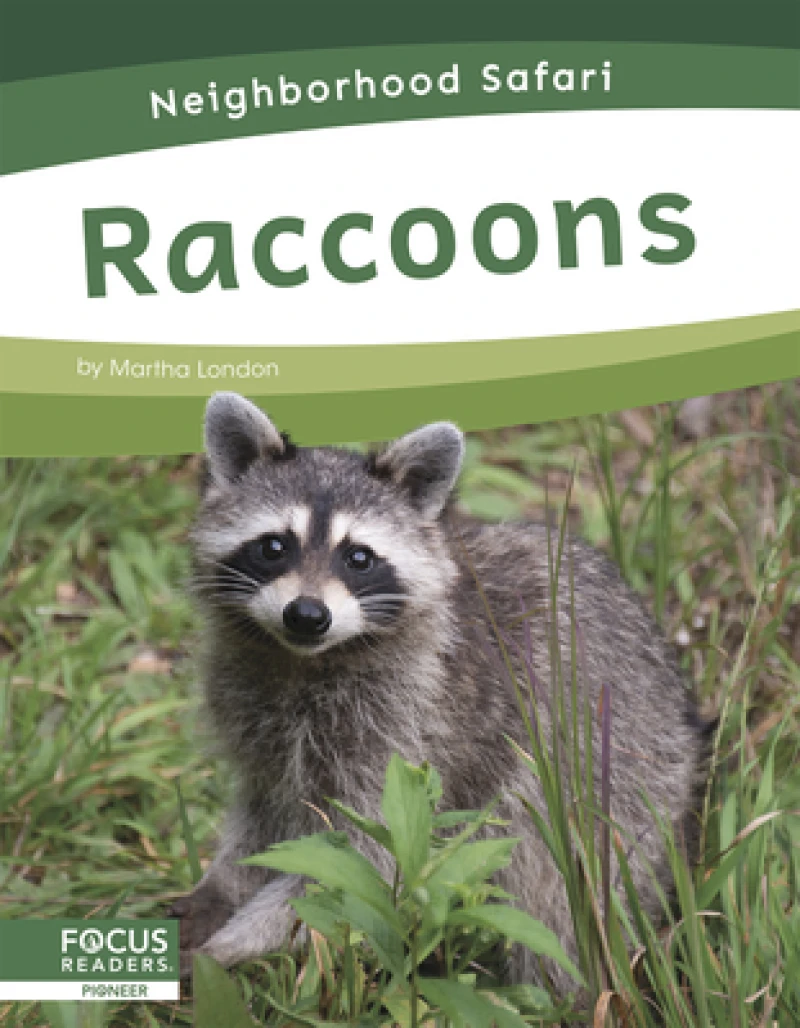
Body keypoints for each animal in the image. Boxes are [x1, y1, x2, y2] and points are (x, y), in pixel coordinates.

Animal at [171, 392, 705, 988]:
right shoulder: (253, 710)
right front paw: (223, 888)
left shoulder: (413, 729)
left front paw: (235, 942)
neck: (306, 661)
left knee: (557, 899)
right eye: (273, 546)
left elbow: (359, 865)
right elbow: (264, 816)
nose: (307, 615)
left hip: (625, 786)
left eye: (358, 557)